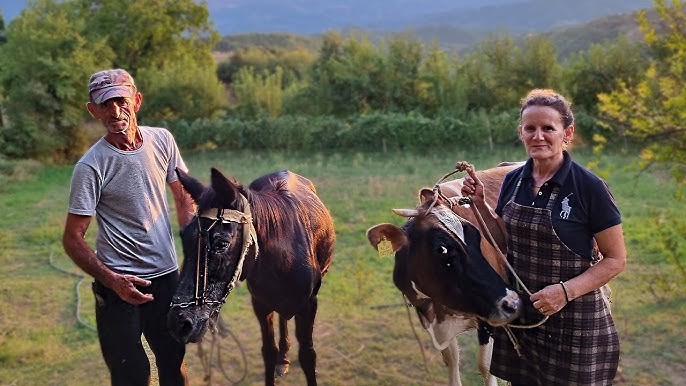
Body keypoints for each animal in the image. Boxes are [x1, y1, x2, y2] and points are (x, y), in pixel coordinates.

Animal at [169, 167, 336, 384]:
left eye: (221, 243)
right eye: (184, 238)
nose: (179, 322)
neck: (284, 259)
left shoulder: (309, 305)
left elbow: (308, 355)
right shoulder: (261, 304)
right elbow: (269, 352)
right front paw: (278, 357)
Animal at [370, 162, 520, 386]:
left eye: (478, 236)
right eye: (442, 250)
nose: (512, 302)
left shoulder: (489, 320)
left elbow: (486, 366)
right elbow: (452, 360)